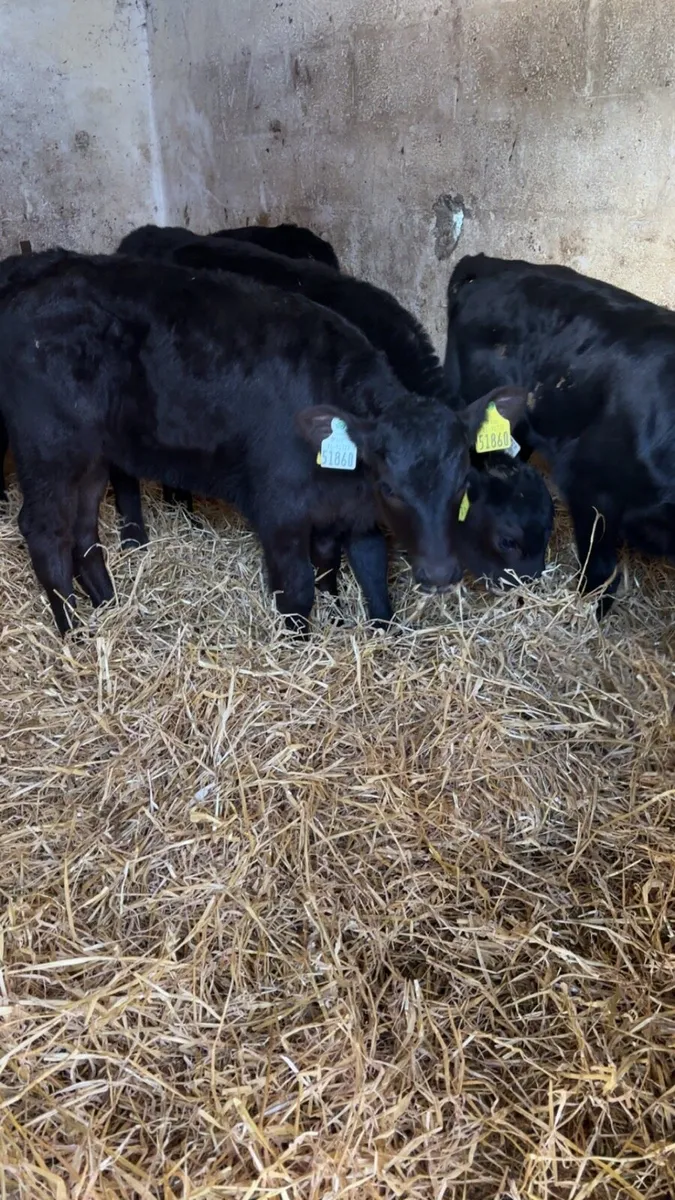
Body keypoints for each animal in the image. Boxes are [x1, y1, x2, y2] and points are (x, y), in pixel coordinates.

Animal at [0, 249, 530, 636]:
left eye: (461, 484)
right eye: (391, 488)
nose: (441, 575)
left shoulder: (347, 512)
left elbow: (348, 566)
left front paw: (349, 618)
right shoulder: (279, 511)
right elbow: (297, 590)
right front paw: (300, 646)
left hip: (90, 455)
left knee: (83, 529)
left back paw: (107, 607)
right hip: (48, 446)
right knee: (44, 531)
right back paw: (74, 632)